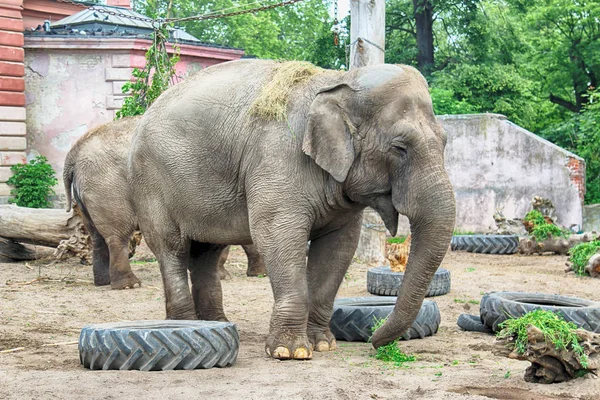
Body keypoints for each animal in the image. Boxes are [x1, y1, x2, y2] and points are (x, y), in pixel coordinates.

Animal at [127, 58, 454, 360]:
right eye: (400, 147)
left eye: (445, 141)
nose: (375, 342)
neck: (337, 80)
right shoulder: (277, 160)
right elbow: (278, 237)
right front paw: (290, 352)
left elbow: (340, 247)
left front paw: (323, 344)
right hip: (152, 186)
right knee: (173, 250)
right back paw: (184, 324)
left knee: (207, 253)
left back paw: (215, 323)